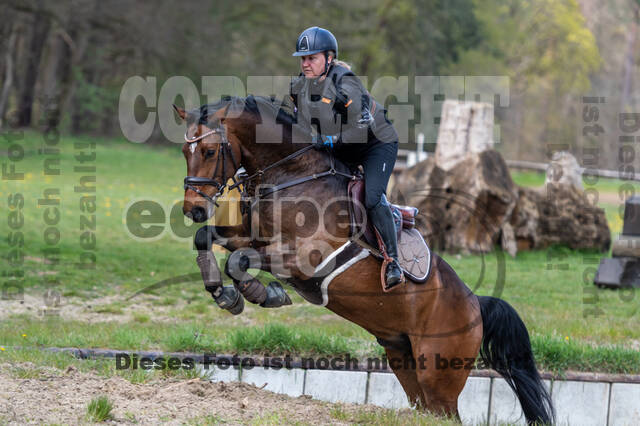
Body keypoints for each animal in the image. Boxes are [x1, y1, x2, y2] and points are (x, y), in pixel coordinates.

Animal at [175, 97, 556, 426]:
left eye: (209, 151)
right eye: (184, 152)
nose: (193, 209)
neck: (291, 175)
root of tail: (476, 303)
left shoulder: (305, 257)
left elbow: (239, 260)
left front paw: (262, 294)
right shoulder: (250, 235)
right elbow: (207, 239)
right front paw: (224, 294)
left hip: (440, 375)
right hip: (404, 359)